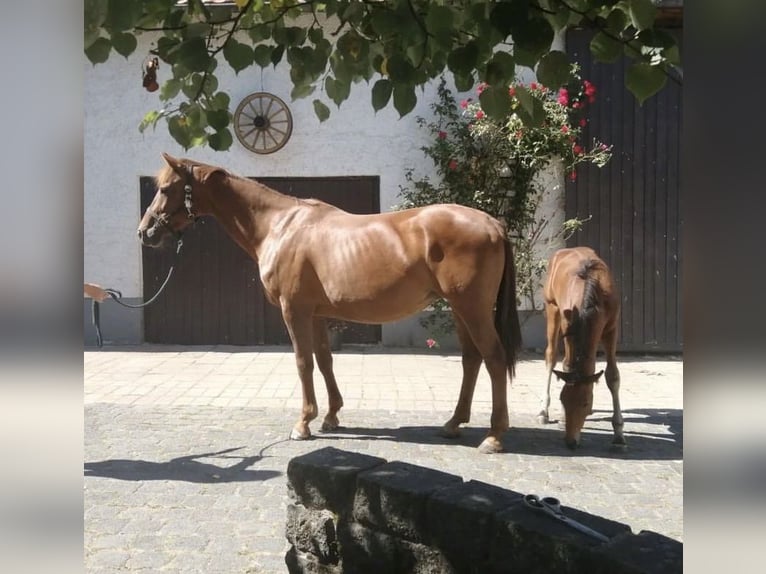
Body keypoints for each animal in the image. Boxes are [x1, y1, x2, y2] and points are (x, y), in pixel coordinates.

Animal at [136, 153, 520, 454]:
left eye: (166, 189)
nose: (145, 232)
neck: (279, 226)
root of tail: (493, 223)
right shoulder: (316, 314)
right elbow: (324, 360)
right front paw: (332, 416)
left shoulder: (294, 310)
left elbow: (303, 362)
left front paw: (303, 423)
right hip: (459, 309)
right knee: (471, 360)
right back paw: (453, 423)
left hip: (472, 308)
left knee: (494, 358)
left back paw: (494, 436)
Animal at [536, 246, 628, 450]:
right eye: (563, 399)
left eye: (585, 403)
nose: (570, 442)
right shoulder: (569, 326)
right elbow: (567, 365)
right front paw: (562, 417)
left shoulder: (611, 328)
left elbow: (613, 376)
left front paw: (618, 434)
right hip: (552, 309)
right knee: (551, 356)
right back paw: (543, 412)